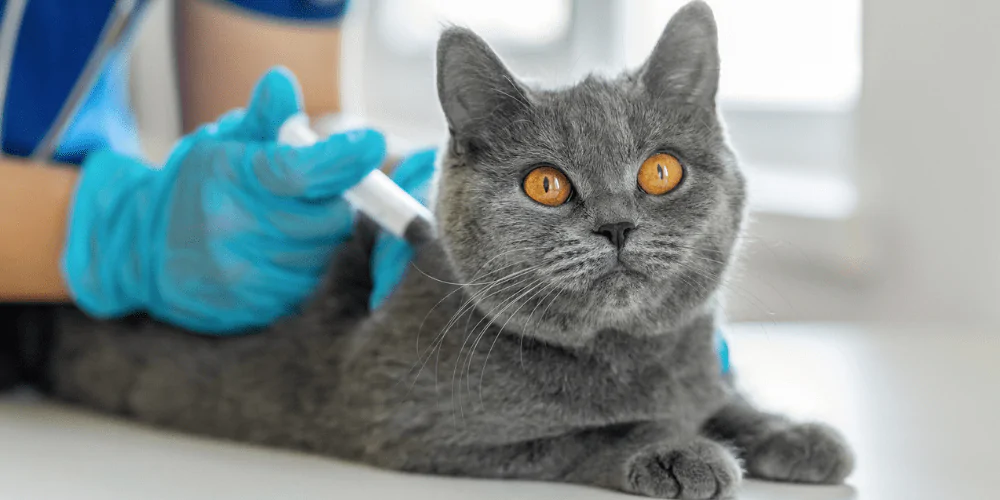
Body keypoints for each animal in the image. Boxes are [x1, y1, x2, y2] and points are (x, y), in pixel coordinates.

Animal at [45, 1, 852, 498]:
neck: (629, 354)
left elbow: (724, 398)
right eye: (547, 184)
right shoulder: (417, 427)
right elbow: (590, 430)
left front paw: (790, 430)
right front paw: (677, 447)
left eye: (660, 172)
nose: (618, 225)